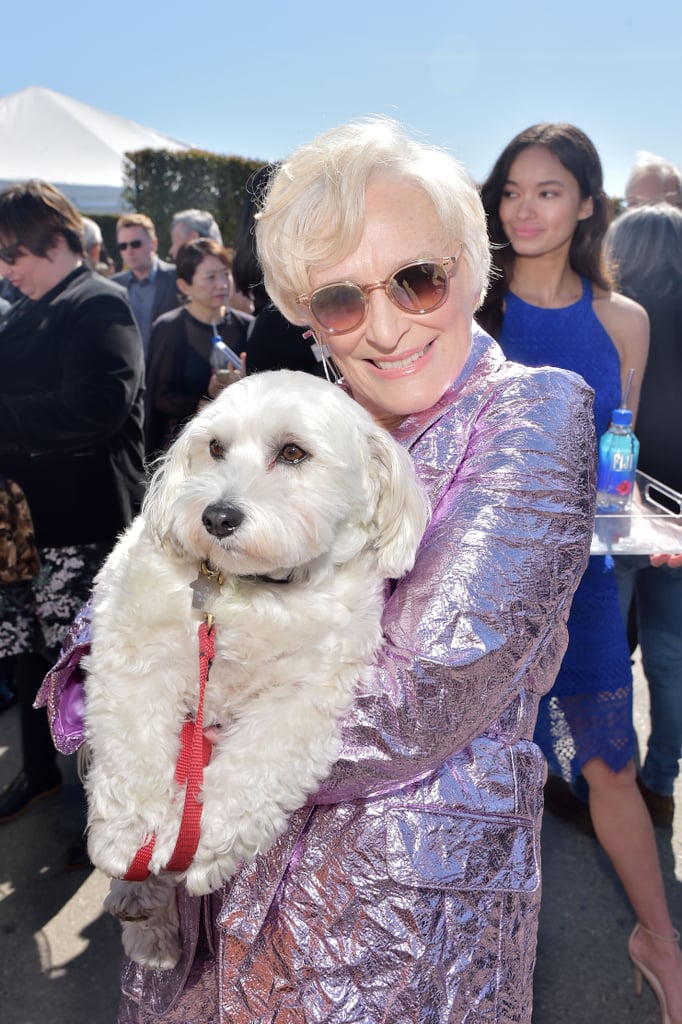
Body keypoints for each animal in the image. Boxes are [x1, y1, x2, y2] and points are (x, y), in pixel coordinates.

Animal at [82, 368, 428, 966]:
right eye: (215, 448)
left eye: (292, 452)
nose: (216, 516)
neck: (251, 593)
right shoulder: (132, 655)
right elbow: (133, 750)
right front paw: (126, 836)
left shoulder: (307, 697)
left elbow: (255, 769)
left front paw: (198, 845)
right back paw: (141, 908)